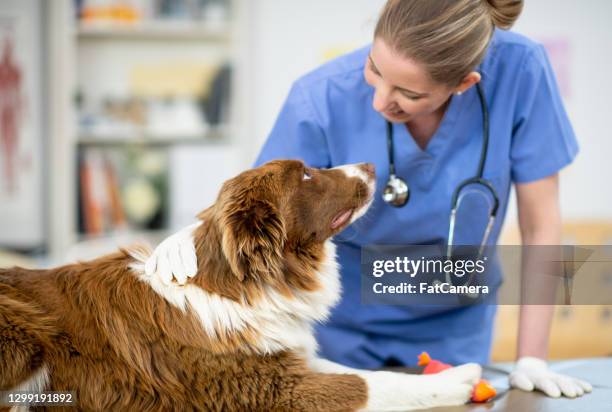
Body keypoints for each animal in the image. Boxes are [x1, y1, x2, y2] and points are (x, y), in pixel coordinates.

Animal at [0, 161, 480, 412]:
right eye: (306, 176)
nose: (371, 165)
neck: (242, 285)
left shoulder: (282, 358)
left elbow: (363, 372)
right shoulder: (267, 389)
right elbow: (366, 386)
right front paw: (458, 379)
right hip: (25, 334)